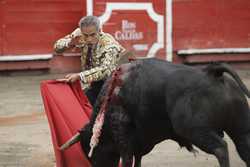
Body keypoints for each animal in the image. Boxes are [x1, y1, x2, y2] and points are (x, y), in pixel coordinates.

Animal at [60, 58, 250, 166]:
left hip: (194, 130)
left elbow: (128, 160)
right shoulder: (140, 142)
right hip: (241, 128)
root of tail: (211, 73)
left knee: (221, 149)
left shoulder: (124, 139)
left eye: (89, 151)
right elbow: (138, 160)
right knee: (244, 148)